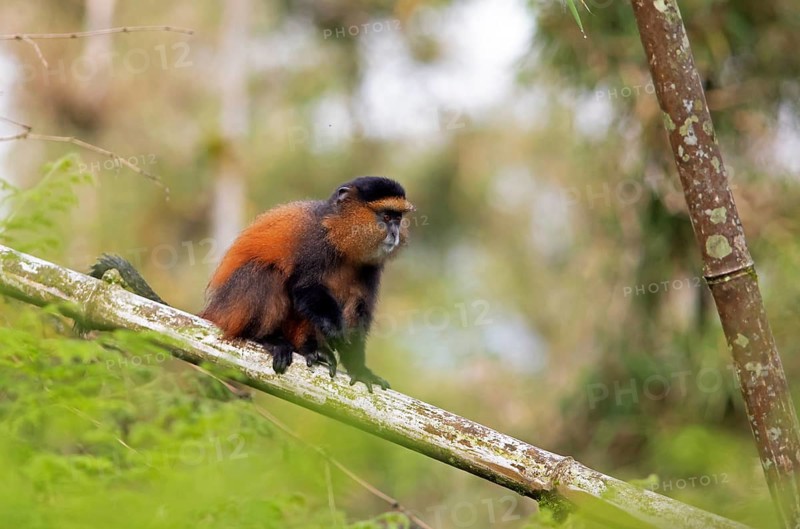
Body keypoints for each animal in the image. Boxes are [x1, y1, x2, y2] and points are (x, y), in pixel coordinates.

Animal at [90, 176, 414, 392]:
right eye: (386, 216)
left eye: (398, 218)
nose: (395, 234)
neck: (340, 240)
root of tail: (214, 311)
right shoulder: (313, 243)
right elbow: (304, 288)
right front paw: (334, 334)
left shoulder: (370, 269)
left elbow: (358, 311)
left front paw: (361, 368)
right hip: (235, 306)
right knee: (266, 274)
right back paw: (272, 340)